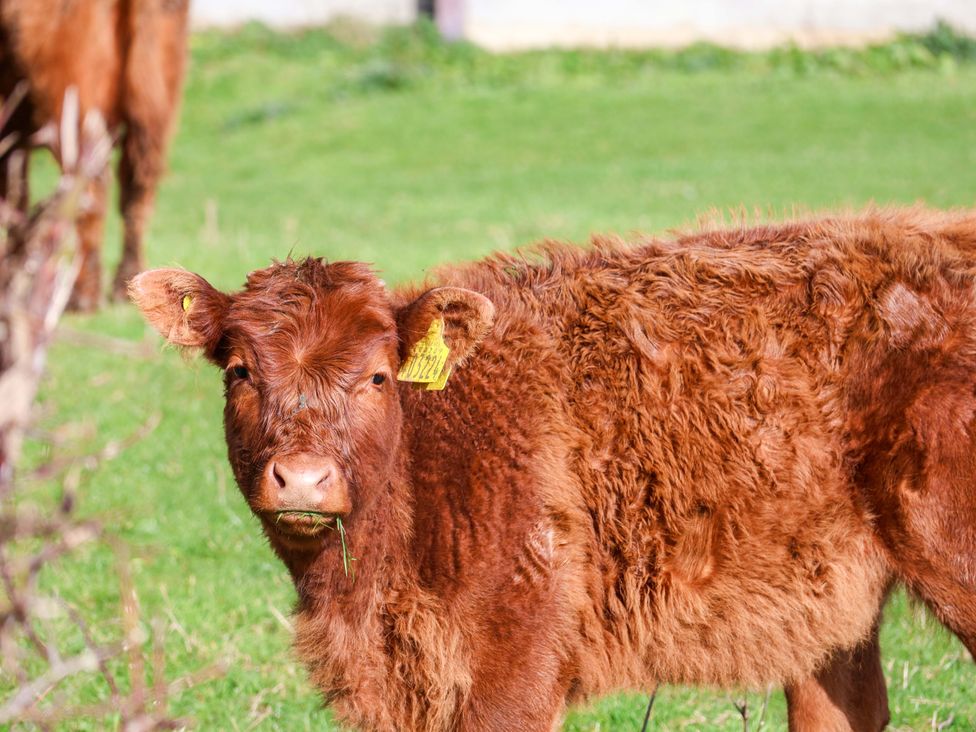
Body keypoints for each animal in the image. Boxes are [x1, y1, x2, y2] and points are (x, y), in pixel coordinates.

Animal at [0, 0, 189, 311]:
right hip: (154, 99)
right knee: (137, 188)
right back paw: (128, 287)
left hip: (70, 100)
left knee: (89, 187)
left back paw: (82, 295)